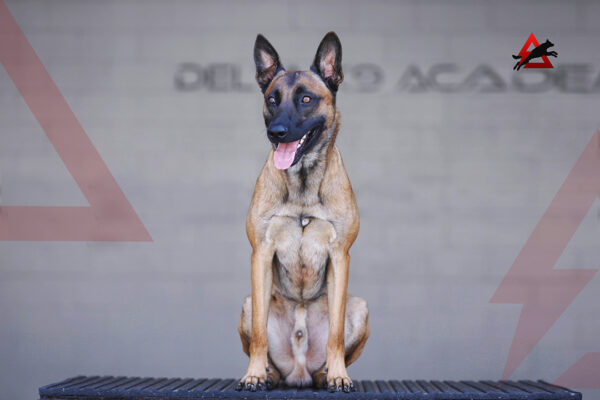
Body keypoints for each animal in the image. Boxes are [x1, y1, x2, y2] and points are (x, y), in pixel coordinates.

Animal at [236, 32, 369, 393]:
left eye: (307, 99)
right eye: (272, 99)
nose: (277, 132)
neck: (303, 183)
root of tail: (298, 372)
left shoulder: (339, 255)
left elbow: (335, 335)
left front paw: (339, 375)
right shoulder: (260, 254)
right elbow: (260, 337)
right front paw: (254, 374)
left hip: (359, 306)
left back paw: (326, 375)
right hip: (249, 303)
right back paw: (268, 374)